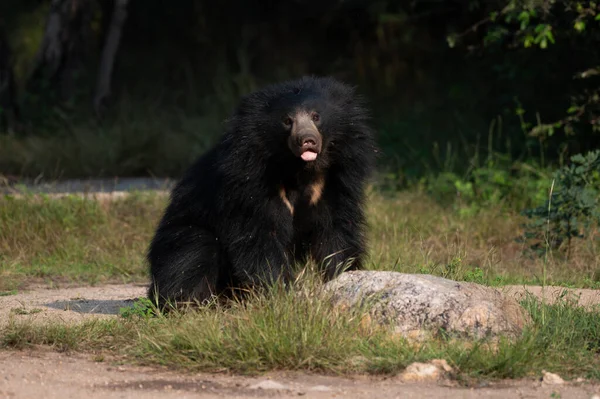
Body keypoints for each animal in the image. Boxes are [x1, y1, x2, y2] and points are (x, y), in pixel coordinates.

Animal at [148, 76, 378, 306]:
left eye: (316, 116)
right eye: (287, 120)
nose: (307, 140)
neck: (299, 168)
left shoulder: (334, 181)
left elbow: (335, 232)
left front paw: (342, 275)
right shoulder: (250, 183)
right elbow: (261, 237)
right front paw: (280, 291)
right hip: (179, 234)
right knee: (192, 253)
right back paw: (190, 303)